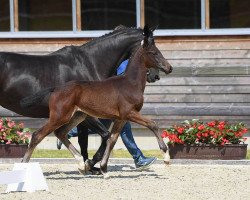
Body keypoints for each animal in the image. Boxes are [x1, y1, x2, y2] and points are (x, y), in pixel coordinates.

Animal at [22, 25, 172, 177]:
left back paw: (81, 164)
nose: (168, 68)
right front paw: (166, 157)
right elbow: (153, 124)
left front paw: (104, 169)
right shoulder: (130, 113)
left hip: (78, 115)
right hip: (60, 116)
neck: (129, 83)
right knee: (37, 135)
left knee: (61, 133)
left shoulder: (121, 118)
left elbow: (112, 140)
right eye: (154, 52)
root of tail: (56, 88)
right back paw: (23, 166)